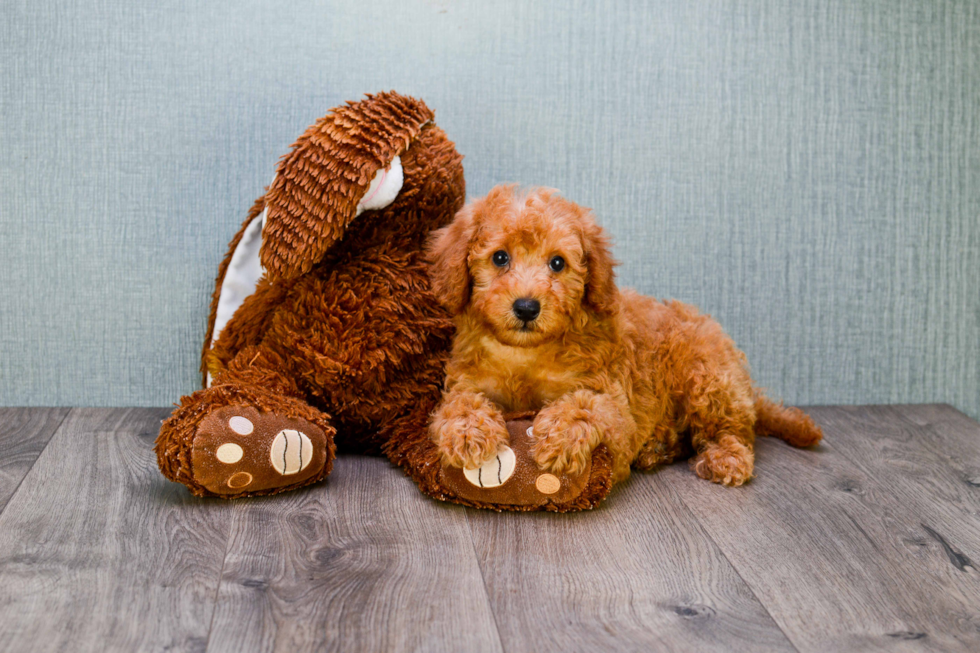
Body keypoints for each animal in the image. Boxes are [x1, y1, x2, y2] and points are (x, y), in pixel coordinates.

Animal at [426, 183, 820, 484]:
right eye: (500, 258)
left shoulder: (613, 401)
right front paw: (468, 433)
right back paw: (657, 449)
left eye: (557, 263)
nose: (526, 307)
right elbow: (460, 404)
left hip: (706, 377)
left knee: (734, 430)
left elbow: (586, 406)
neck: (525, 352)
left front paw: (559, 438)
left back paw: (727, 458)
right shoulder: (468, 382)